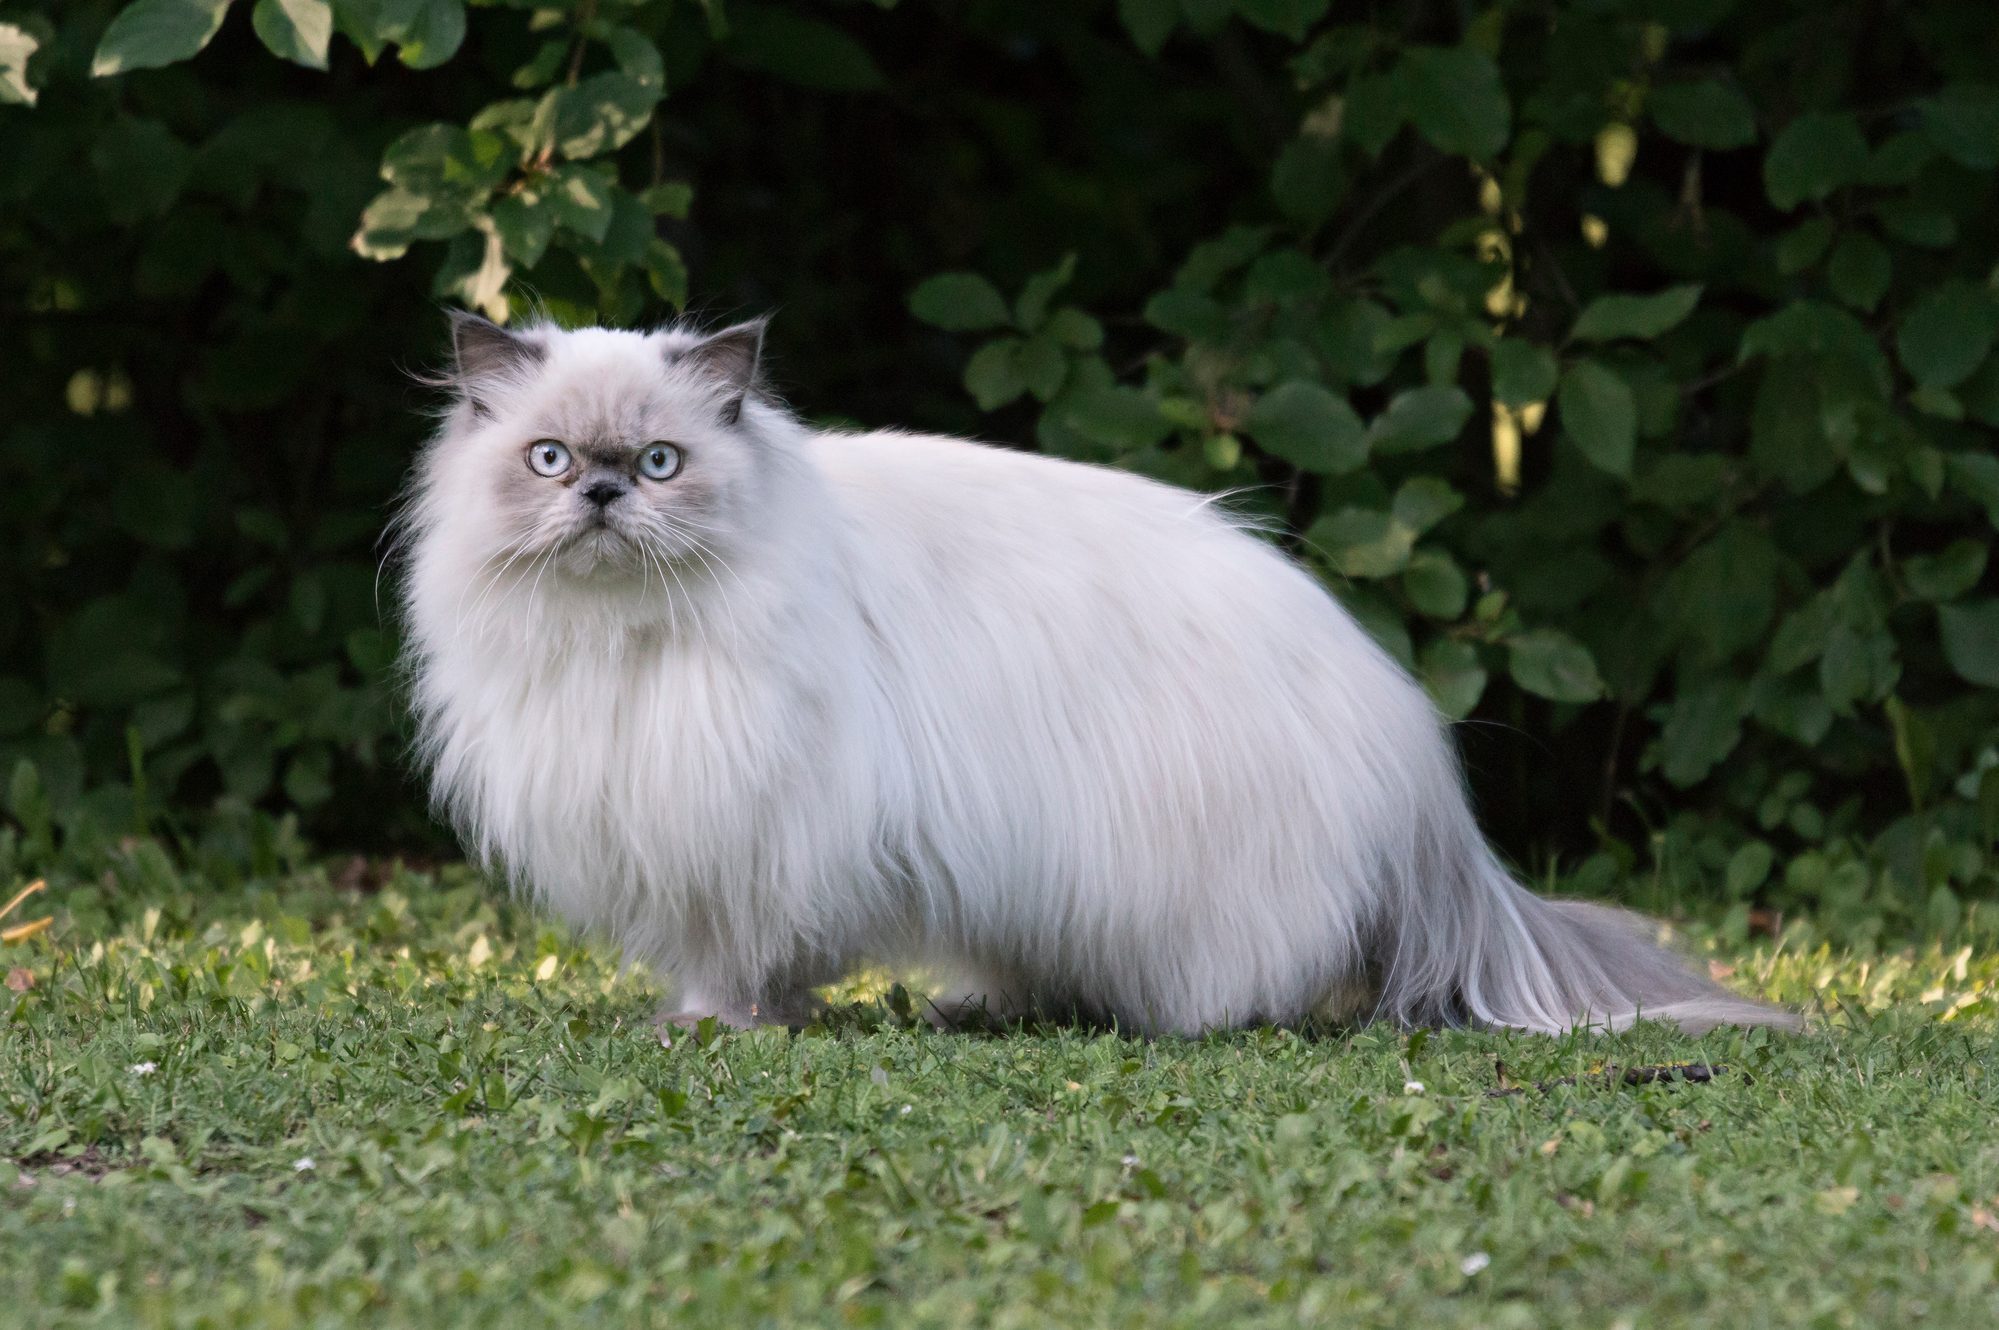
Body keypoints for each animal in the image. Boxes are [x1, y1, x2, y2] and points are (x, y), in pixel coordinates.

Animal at [401, 312, 1799, 1040]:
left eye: (657, 463)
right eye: (545, 458)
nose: (596, 493)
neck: (620, 644)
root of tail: (1421, 777)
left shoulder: (761, 837)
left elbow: (741, 961)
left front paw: (712, 1024)